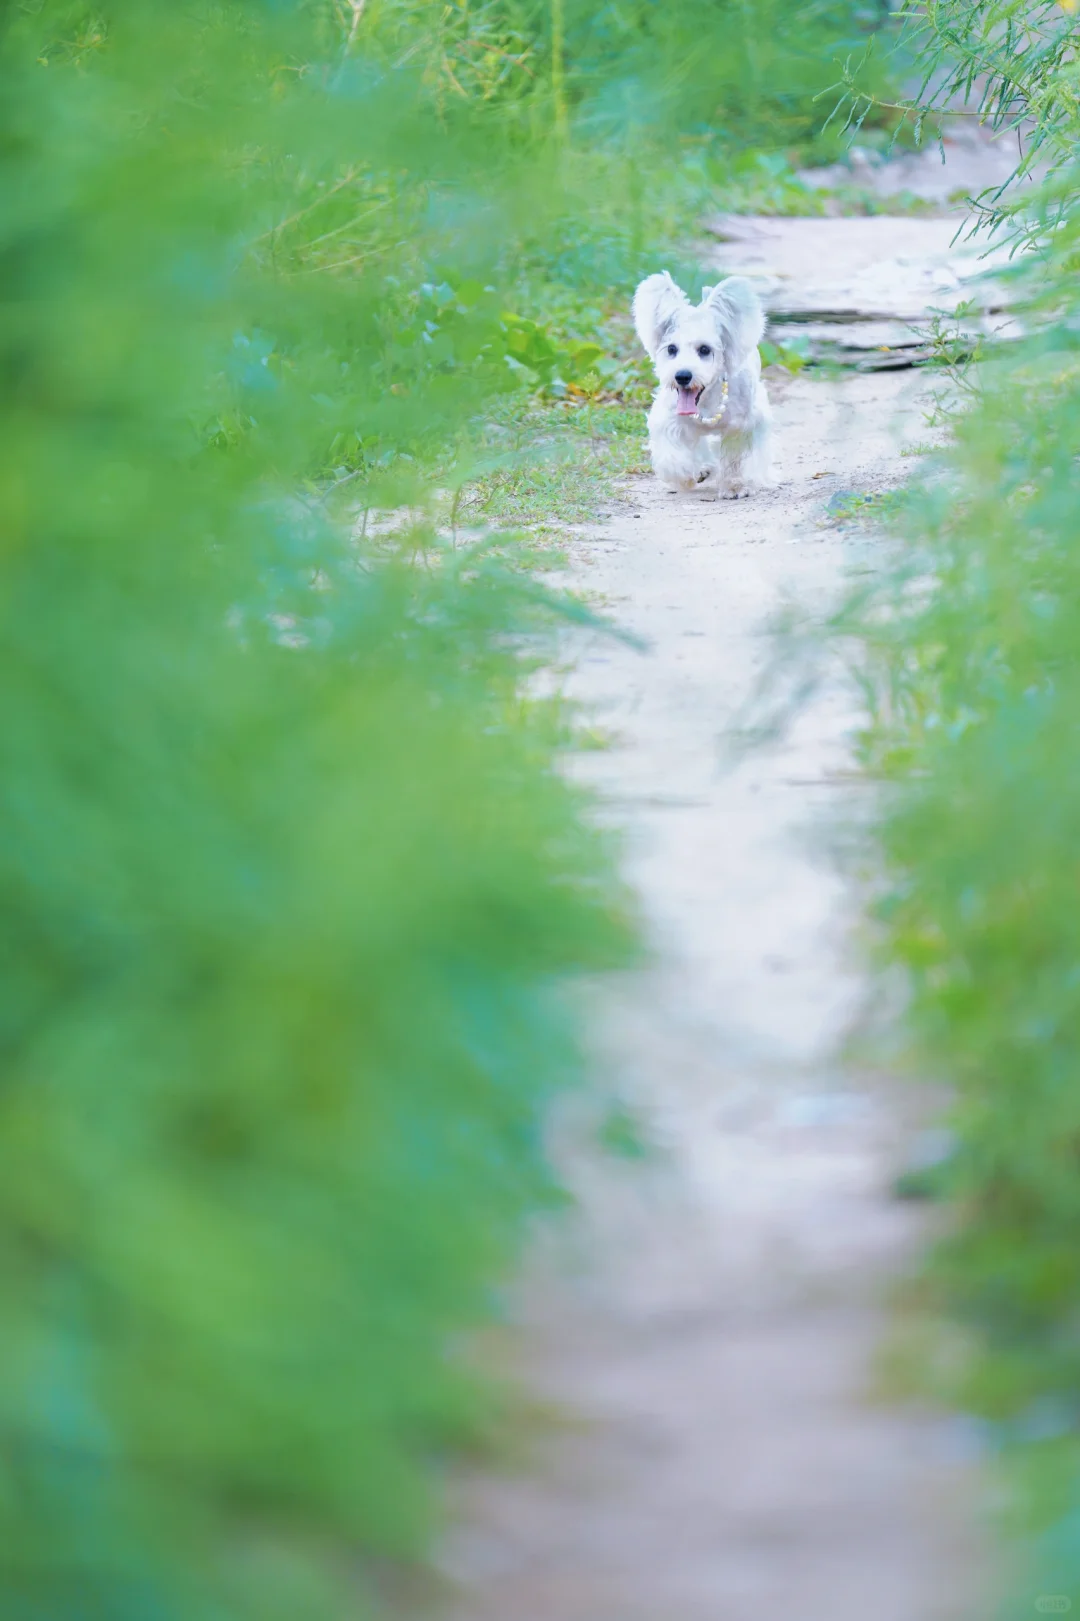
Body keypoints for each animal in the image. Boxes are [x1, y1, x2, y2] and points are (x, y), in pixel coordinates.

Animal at [625, 269, 768, 496]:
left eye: (704, 349)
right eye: (671, 349)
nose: (682, 376)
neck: (707, 402)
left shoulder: (743, 423)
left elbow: (736, 457)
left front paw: (735, 485)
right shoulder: (670, 419)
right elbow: (673, 456)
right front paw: (687, 474)